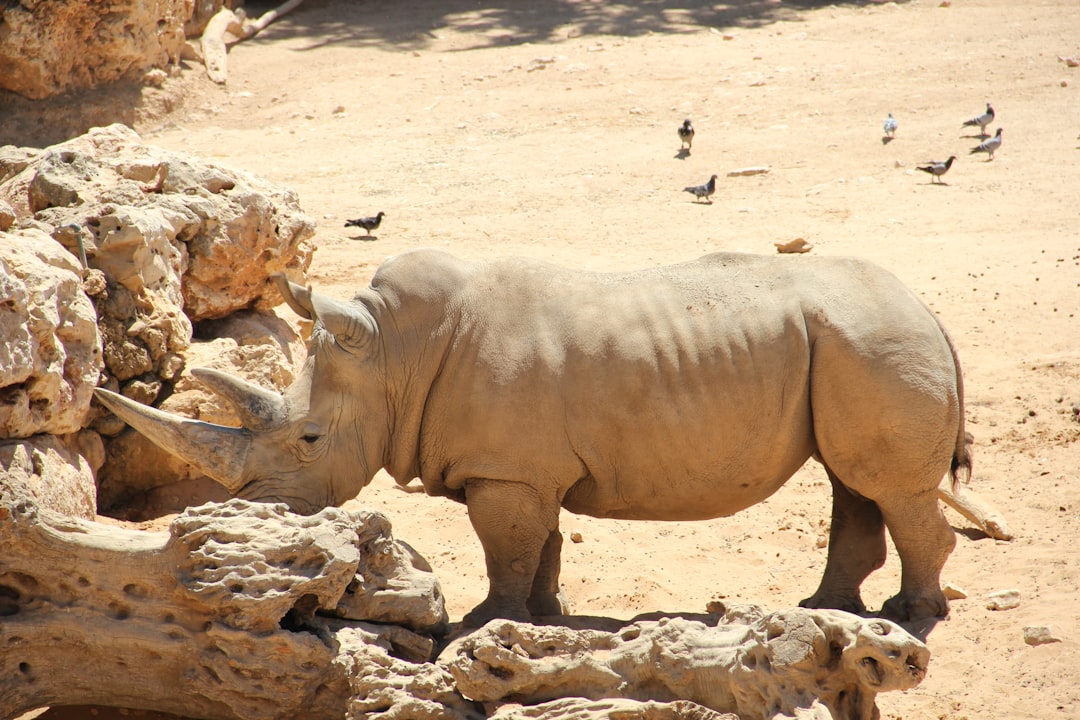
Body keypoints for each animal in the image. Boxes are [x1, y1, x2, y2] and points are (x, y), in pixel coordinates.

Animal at [95, 249, 969, 626]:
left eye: (309, 439)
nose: (260, 516)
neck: (394, 352)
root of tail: (928, 308)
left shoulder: (506, 470)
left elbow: (506, 547)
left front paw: (485, 625)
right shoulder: (526, 466)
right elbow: (539, 541)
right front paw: (545, 617)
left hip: (874, 342)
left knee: (887, 487)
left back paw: (909, 616)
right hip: (855, 346)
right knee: (853, 481)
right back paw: (829, 610)